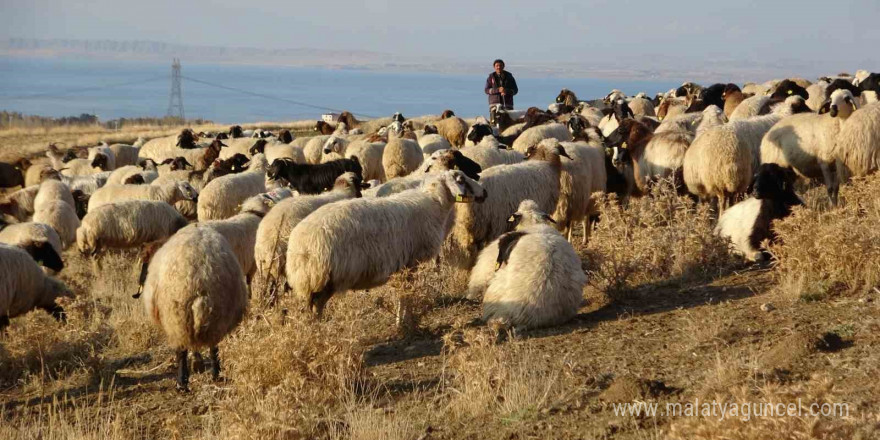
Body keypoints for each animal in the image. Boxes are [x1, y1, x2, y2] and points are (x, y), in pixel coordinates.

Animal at [141, 225, 246, 390]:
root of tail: (199, 276)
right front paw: (199, 364)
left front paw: (196, 365)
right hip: (216, 316)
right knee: (214, 347)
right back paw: (216, 374)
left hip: (177, 318)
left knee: (181, 351)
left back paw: (182, 383)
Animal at [286, 169, 484, 316]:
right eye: (462, 180)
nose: (485, 193)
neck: (434, 203)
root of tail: (298, 247)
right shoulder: (411, 261)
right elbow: (406, 292)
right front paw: (404, 318)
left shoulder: (404, 264)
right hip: (324, 278)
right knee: (316, 308)